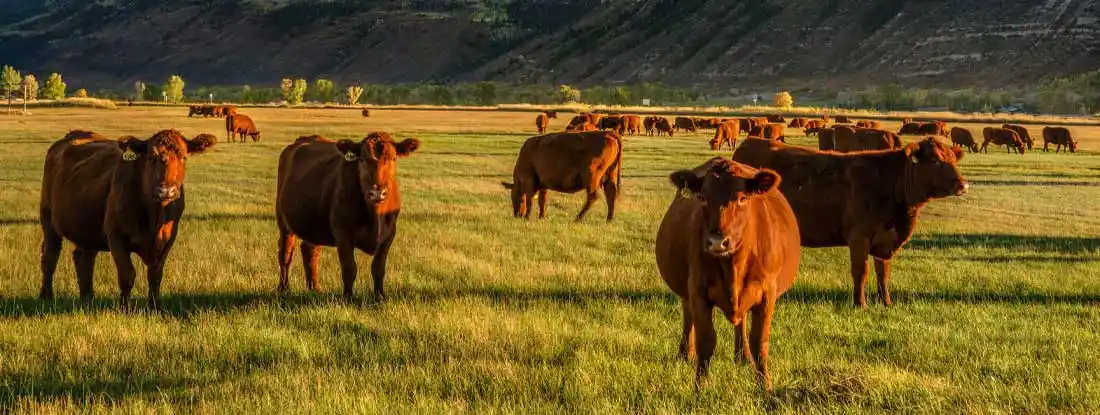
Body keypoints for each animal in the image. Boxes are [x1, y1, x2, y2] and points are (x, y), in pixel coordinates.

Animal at [39, 130, 216, 308]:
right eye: (151, 157)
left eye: (184, 157)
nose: (166, 191)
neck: (154, 218)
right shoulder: (116, 236)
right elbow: (127, 275)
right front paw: (124, 307)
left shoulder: (168, 239)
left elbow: (155, 275)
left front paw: (154, 307)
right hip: (48, 219)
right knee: (50, 256)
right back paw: (47, 295)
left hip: (87, 229)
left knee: (83, 259)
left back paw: (87, 298)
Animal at [276, 133, 419, 301]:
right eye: (362, 159)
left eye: (394, 158)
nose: (377, 193)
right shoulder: (342, 233)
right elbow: (349, 268)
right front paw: (348, 298)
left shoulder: (389, 235)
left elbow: (378, 268)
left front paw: (380, 297)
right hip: (283, 223)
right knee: (285, 253)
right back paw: (284, 288)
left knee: (310, 250)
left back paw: (315, 289)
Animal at [656, 157, 799, 390]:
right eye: (703, 197)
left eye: (742, 198)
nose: (717, 241)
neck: (734, 266)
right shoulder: (698, 289)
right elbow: (706, 340)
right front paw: (700, 387)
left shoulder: (767, 293)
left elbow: (760, 341)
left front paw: (765, 385)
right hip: (687, 291)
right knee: (688, 317)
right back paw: (685, 354)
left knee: (741, 323)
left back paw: (743, 357)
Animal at [732, 137, 968, 308]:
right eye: (936, 160)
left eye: (953, 159)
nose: (963, 185)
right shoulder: (859, 236)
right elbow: (861, 271)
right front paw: (860, 304)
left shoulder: (884, 239)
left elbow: (883, 273)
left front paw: (886, 302)